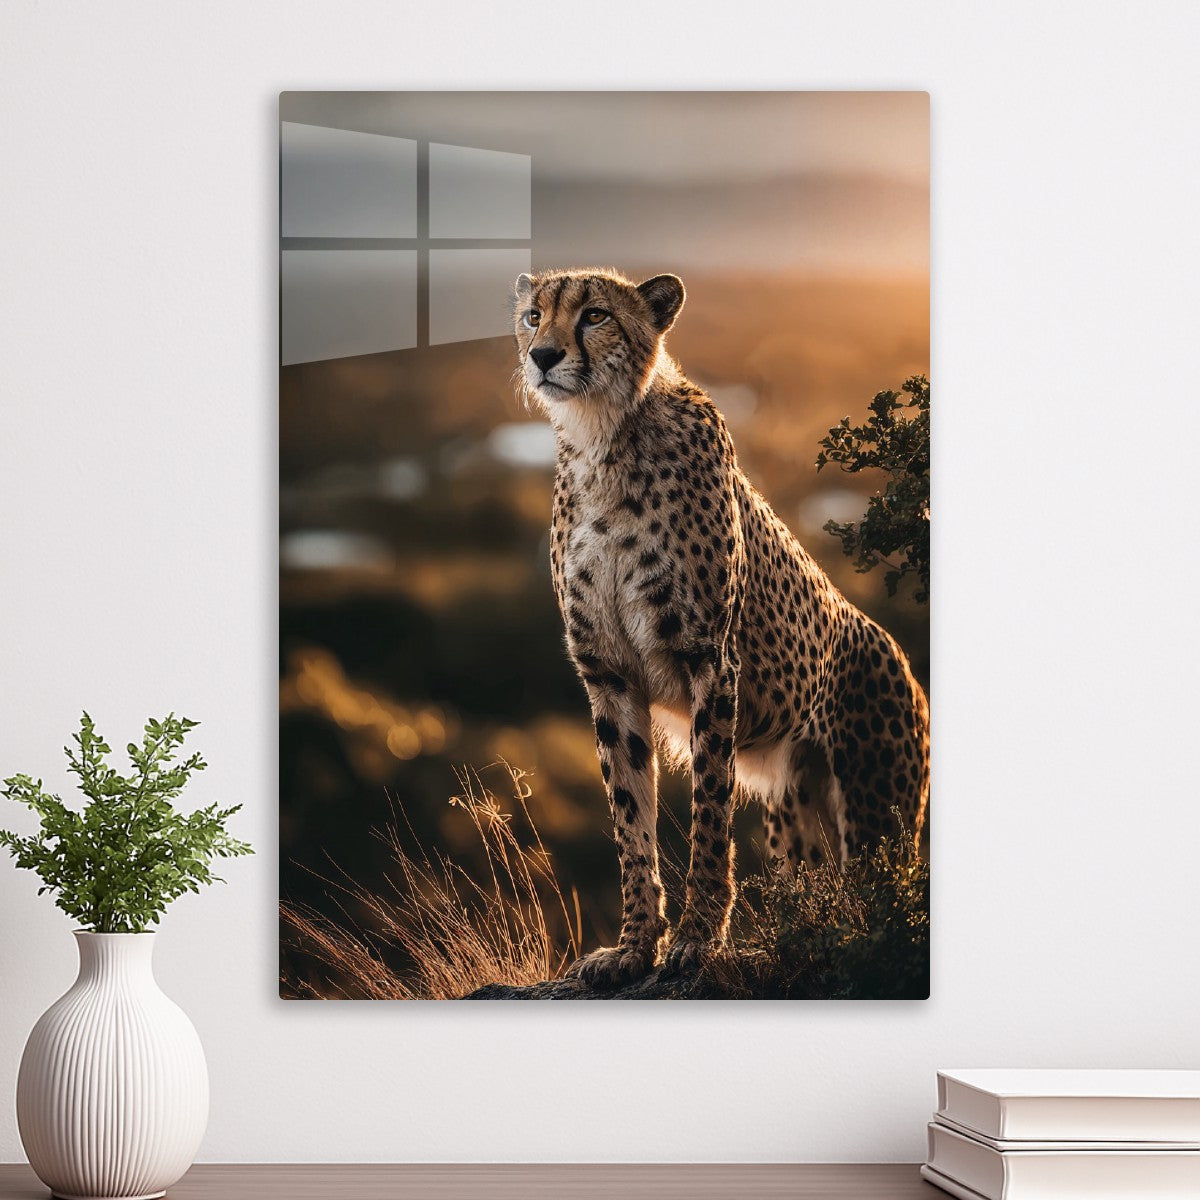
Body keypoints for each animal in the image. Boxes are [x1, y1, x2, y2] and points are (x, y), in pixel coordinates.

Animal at [512, 267, 929, 988]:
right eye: (533, 315)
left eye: (595, 315)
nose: (542, 355)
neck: (603, 440)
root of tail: (899, 656)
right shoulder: (609, 675)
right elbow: (630, 818)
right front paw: (632, 946)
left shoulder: (708, 659)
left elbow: (709, 808)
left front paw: (697, 939)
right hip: (797, 809)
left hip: (878, 816)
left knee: (886, 910)